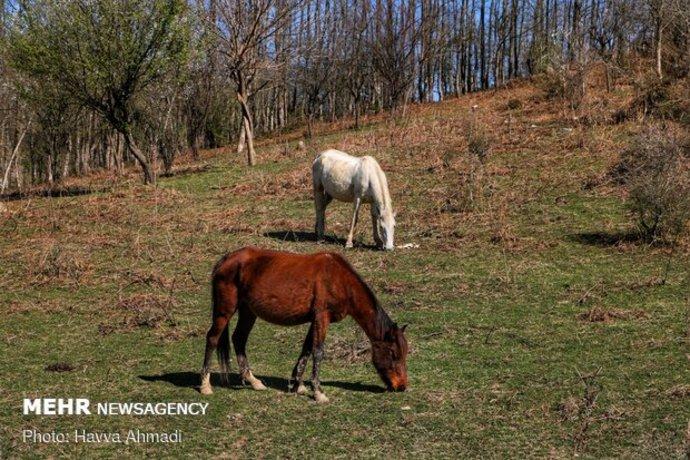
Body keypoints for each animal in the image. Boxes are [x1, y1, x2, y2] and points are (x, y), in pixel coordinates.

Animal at [199, 248, 406, 402]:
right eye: (393, 354)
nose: (402, 386)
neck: (339, 279)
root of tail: (226, 259)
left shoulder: (314, 320)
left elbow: (306, 349)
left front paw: (298, 385)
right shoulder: (322, 317)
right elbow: (318, 351)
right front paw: (319, 392)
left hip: (248, 312)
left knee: (239, 339)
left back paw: (254, 381)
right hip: (225, 310)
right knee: (213, 338)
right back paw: (205, 385)